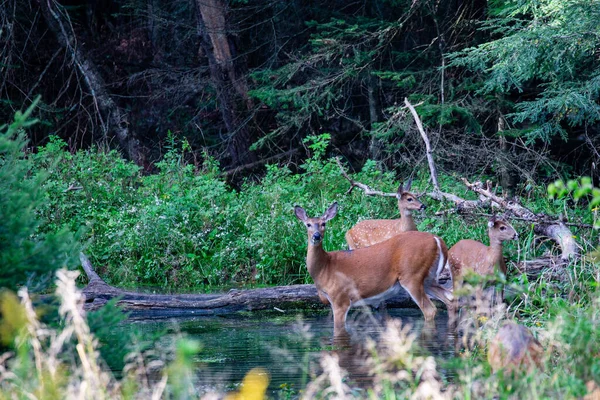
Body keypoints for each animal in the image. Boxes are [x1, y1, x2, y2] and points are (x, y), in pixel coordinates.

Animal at [292, 202, 452, 336]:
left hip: (412, 275)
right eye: (308, 224)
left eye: (323, 223)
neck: (325, 267)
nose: (316, 236)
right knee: (450, 298)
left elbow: (338, 329)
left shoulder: (340, 298)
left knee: (430, 310)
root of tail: (437, 239)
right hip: (428, 278)